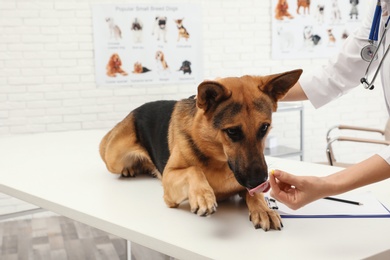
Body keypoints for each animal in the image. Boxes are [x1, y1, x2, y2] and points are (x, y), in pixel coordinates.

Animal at [100, 68, 302, 230]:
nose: (259, 181)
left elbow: (255, 195)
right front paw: (203, 195)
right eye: (233, 132)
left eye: (264, 128)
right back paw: (130, 167)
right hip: (114, 158)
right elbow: (193, 169)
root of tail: (135, 110)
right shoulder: (169, 181)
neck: (218, 159)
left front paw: (264, 209)